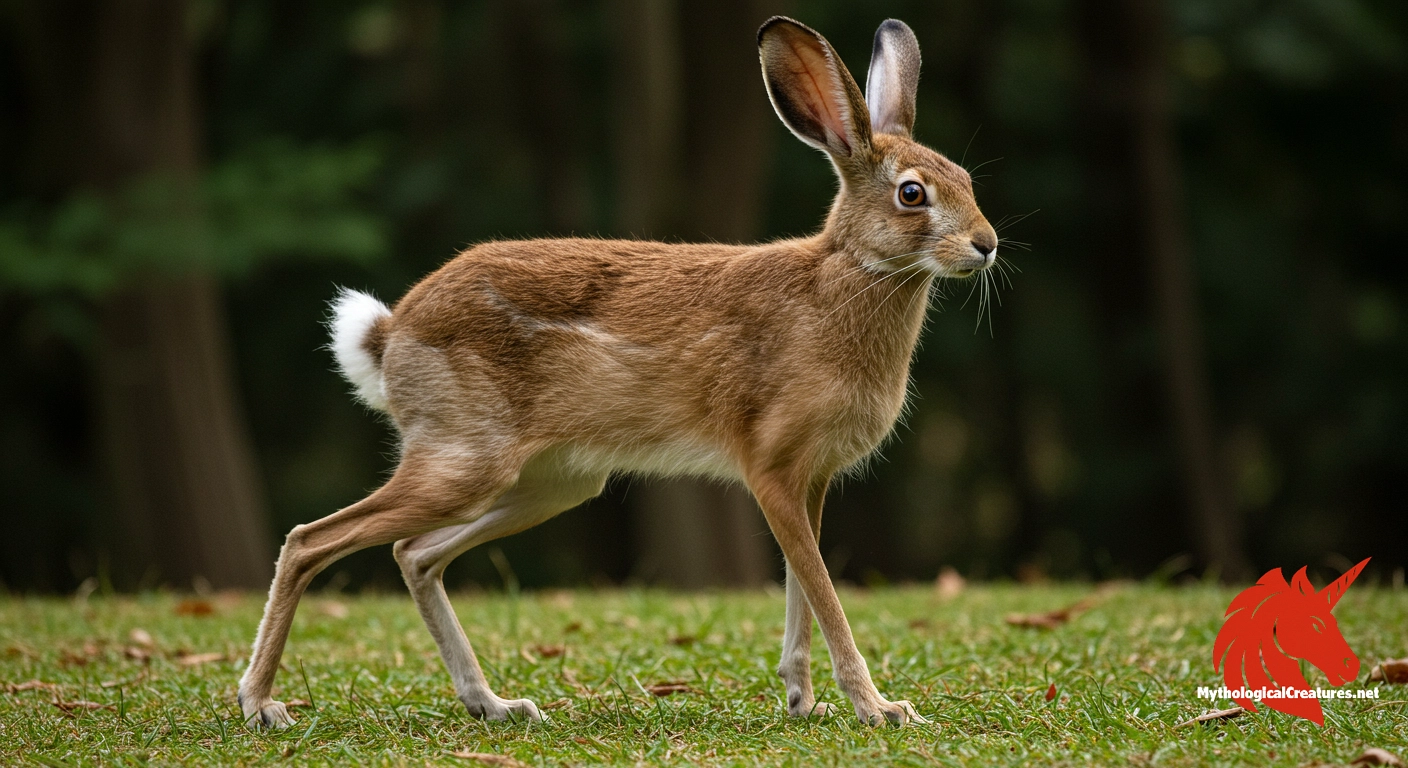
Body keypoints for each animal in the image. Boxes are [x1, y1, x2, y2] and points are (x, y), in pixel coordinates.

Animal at [239, 15, 997, 729]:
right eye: (912, 195)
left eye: (965, 182)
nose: (986, 245)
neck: (847, 273)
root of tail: (394, 332)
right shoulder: (773, 470)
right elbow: (823, 594)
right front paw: (878, 708)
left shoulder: (809, 484)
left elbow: (801, 593)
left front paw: (801, 700)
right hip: (466, 462)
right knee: (311, 542)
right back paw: (260, 704)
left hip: (552, 485)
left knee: (414, 555)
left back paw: (493, 705)